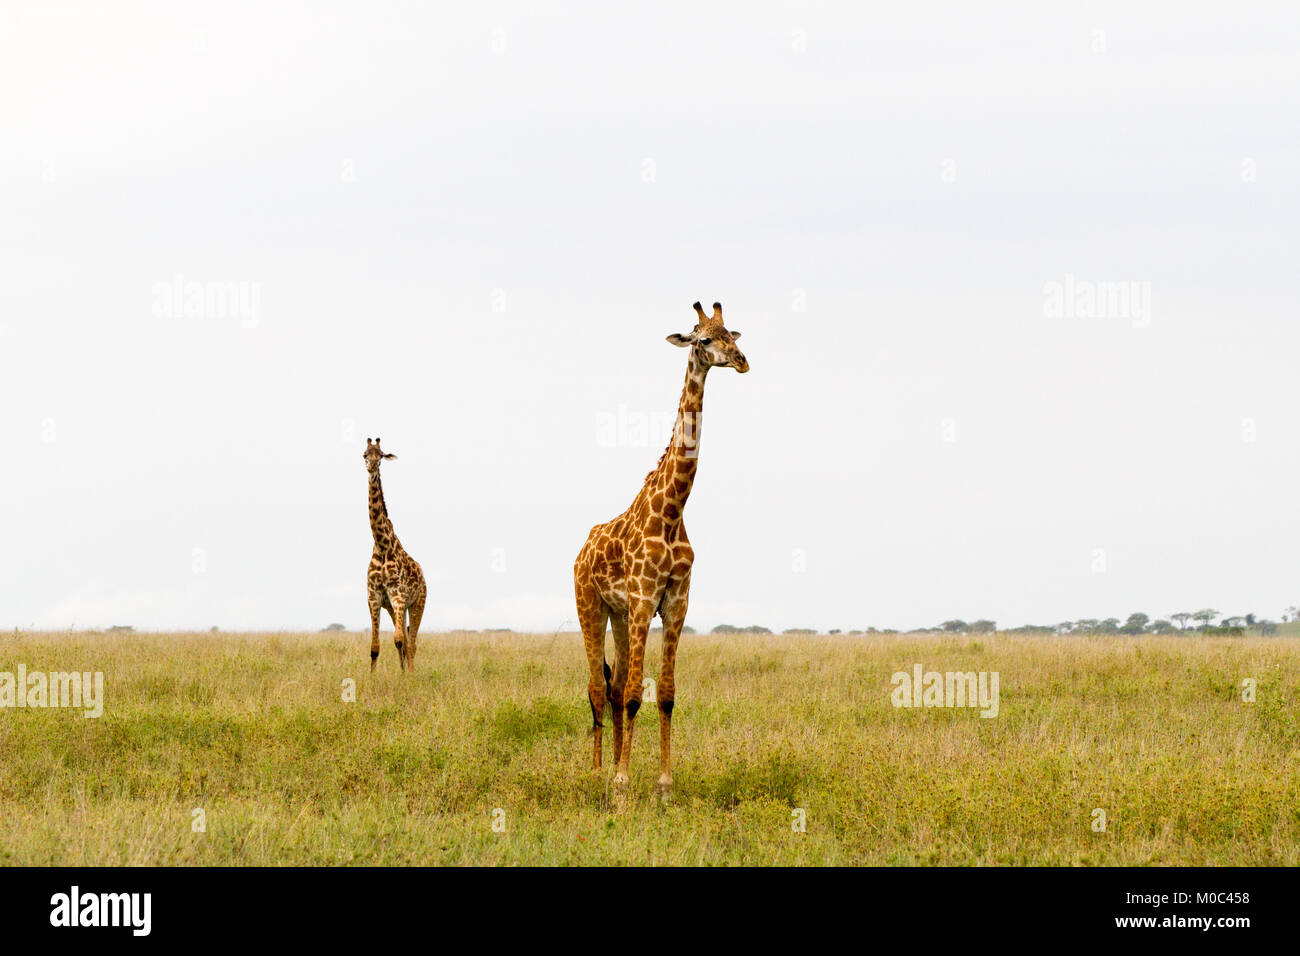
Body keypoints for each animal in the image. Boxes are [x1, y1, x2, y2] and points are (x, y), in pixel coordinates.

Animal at [361, 439, 426, 671]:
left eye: (380, 455)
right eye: (365, 454)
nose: (371, 466)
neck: (382, 545)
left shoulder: (398, 594)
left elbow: (399, 640)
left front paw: (405, 676)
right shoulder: (374, 597)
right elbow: (375, 647)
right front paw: (372, 677)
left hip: (417, 603)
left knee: (412, 643)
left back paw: (412, 674)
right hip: (394, 607)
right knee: (406, 641)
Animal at [572, 300, 748, 790]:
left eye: (731, 334)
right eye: (703, 340)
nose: (742, 361)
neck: (671, 514)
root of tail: (582, 550)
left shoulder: (674, 603)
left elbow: (664, 694)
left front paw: (664, 782)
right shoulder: (644, 597)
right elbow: (636, 693)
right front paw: (622, 781)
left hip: (619, 614)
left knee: (613, 688)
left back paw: (612, 761)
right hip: (591, 606)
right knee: (599, 687)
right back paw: (598, 770)